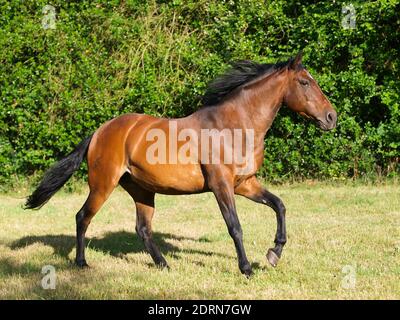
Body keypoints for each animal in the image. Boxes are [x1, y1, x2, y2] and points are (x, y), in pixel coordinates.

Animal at [25, 51, 338, 276]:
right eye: (305, 82)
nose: (331, 117)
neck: (234, 126)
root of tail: (100, 132)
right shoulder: (221, 185)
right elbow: (235, 226)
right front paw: (247, 268)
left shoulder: (245, 184)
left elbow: (279, 205)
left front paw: (274, 253)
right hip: (103, 184)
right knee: (83, 217)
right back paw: (81, 263)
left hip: (142, 190)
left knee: (142, 228)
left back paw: (164, 264)